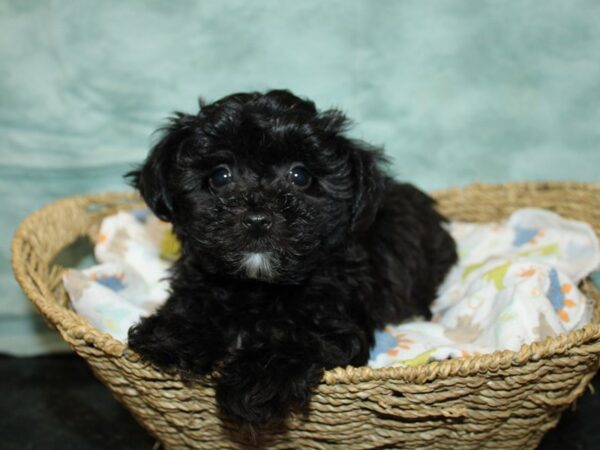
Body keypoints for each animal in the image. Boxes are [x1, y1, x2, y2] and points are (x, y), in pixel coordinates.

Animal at [125, 89, 454, 428]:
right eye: (220, 176)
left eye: (300, 176)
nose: (257, 219)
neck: (257, 287)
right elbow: (194, 304)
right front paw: (173, 335)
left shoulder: (335, 314)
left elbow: (299, 337)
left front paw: (253, 381)